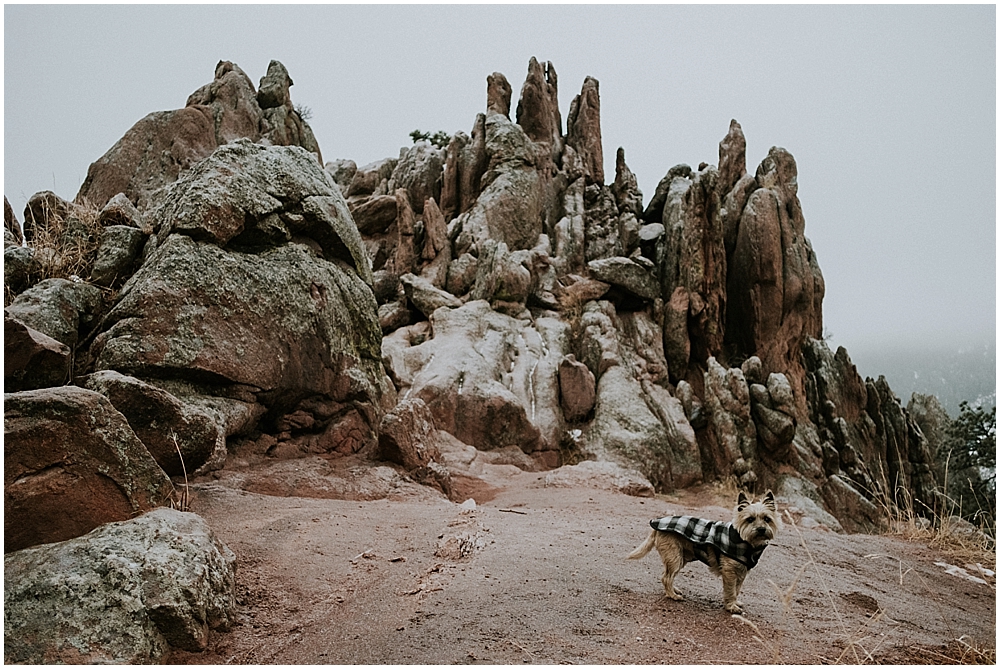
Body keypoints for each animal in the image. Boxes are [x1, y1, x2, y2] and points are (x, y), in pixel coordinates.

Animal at [624, 488, 780, 612]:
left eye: (767, 519)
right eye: (750, 519)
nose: (761, 529)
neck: (744, 540)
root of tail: (657, 525)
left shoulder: (741, 573)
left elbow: (737, 589)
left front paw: (735, 602)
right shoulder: (730, 572)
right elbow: (731, 590)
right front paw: (731, 606)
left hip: (680, 558)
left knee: (668, 575)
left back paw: (674, 590)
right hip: (675, 558)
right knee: (666, 577)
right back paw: (673, 595)